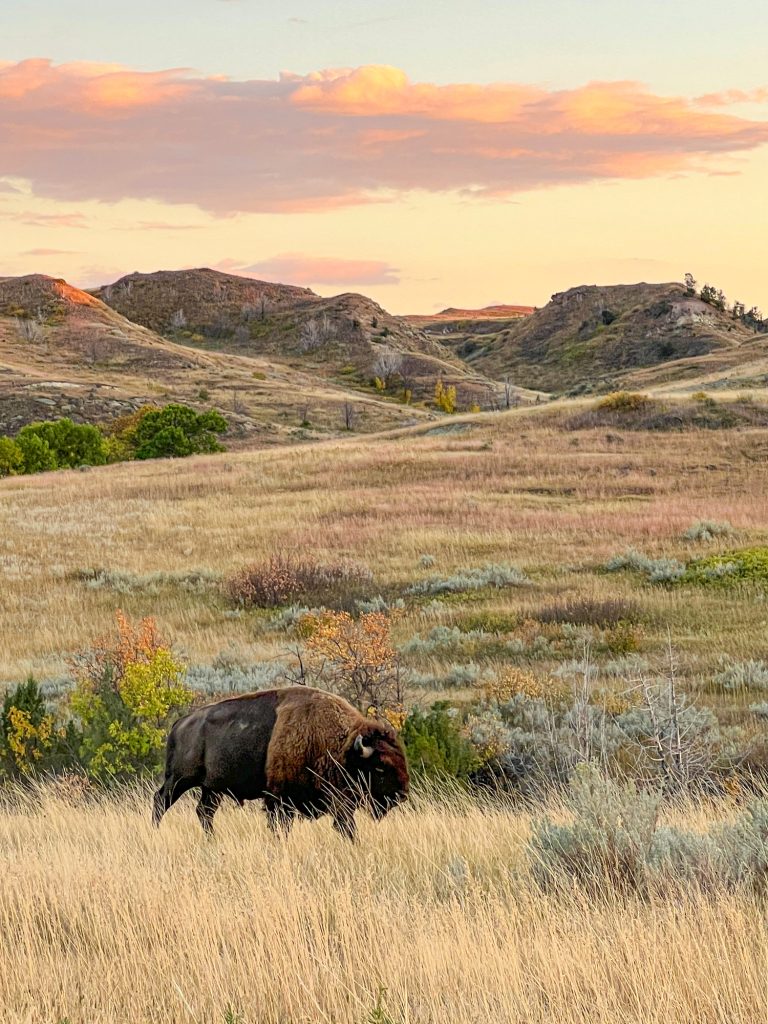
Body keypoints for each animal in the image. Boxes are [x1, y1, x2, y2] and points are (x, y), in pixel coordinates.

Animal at [152, 686, 409, 840]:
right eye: (380, 767)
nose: (402, 794)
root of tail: (180, 723)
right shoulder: (280, 799)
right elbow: (282, 827)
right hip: (180, 779)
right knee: (161, 801)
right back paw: (156, 833)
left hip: (212, 788)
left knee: (204, 812)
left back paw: (212, 840)